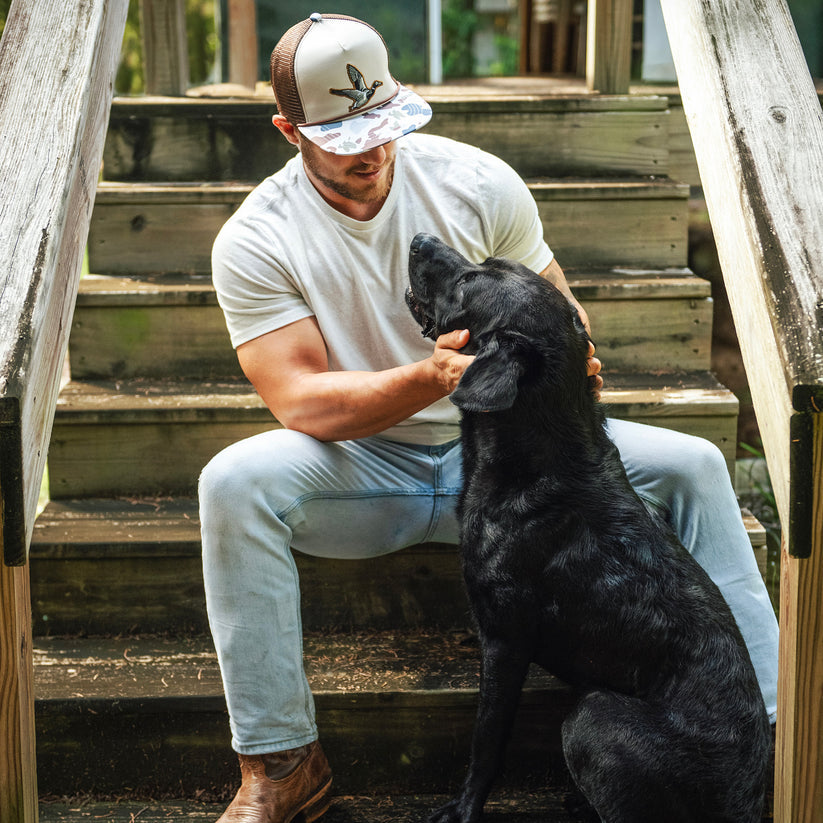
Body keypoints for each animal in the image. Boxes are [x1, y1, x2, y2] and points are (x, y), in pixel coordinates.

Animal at [406, 235, 772, 823]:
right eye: (486, 263)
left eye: (469, 281)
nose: (419, 239)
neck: (536, 455)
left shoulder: (506, 641)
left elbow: (487, 741)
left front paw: (463, 808)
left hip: (591, 716)